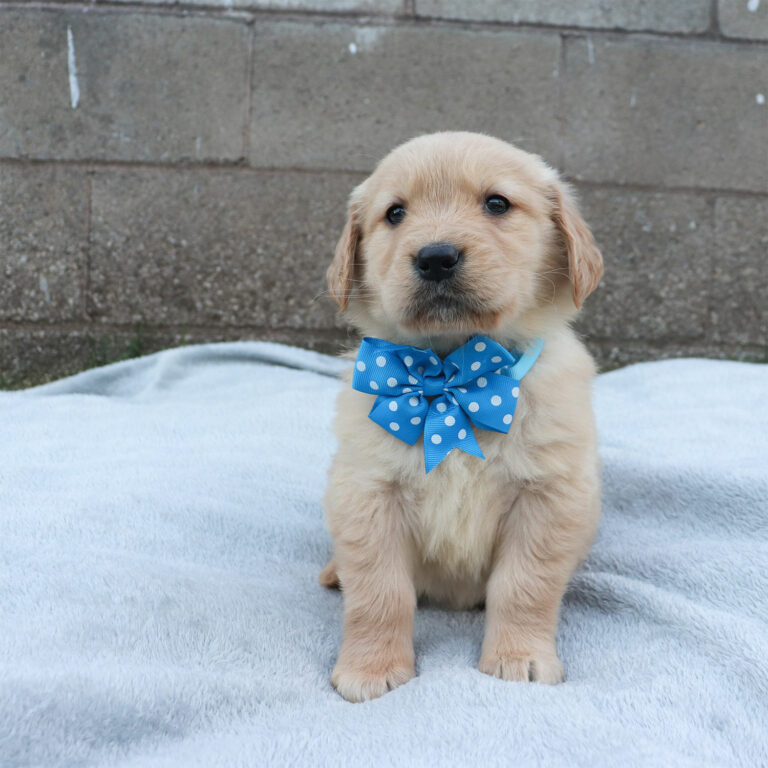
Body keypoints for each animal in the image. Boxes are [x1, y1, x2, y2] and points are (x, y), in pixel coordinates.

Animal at [320, 130, 604, 704]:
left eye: (497, 203)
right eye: (395, 213)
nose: (435, 257)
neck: (453, 377)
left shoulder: (549, 498)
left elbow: (525, 586)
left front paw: (519, 658)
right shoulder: (367, 493)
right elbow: (380, 592)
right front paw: (370, 668)